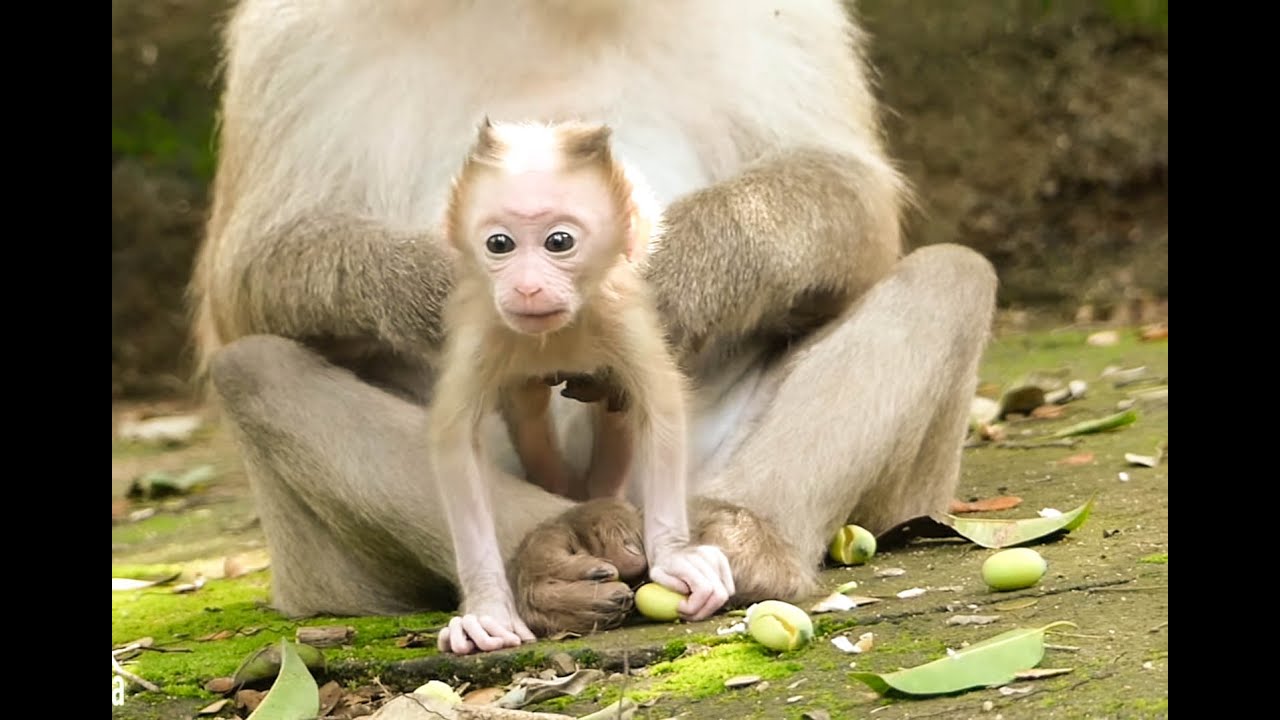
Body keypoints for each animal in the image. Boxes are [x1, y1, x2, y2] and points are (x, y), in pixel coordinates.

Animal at [427, 118, 735, 651]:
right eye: (499, 244)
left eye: (559, 242)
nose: (527, 287)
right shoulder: (485, 328)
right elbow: (454, 442)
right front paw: (487, 609)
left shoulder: (616, 311)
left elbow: (660, 409)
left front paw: (674, 555)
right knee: (528, 409)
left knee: (614, 407)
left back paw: (598, 490)